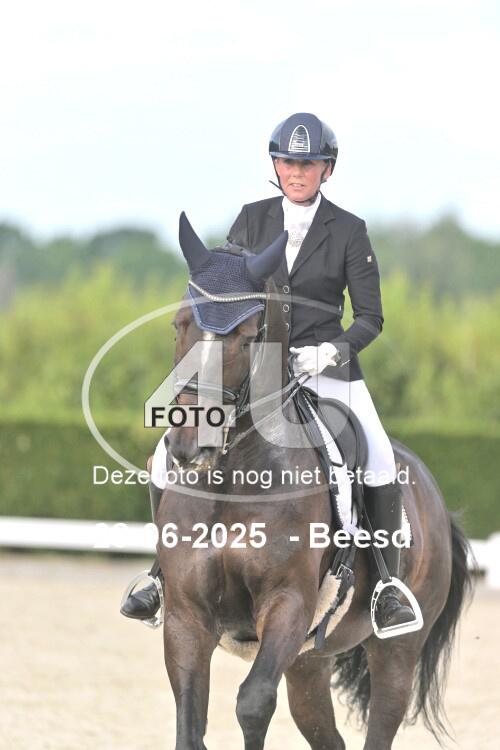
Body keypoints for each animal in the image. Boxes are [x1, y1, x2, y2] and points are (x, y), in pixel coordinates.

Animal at [155, 213, 473, 750]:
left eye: (248, 336)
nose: (187, 444)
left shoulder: (288, 603)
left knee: (381, 719)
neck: (231, 481)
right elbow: (188, 724)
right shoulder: (185, 615)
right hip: (310, 660)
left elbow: (253, 702)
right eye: (179, 325)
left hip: (396, 651)